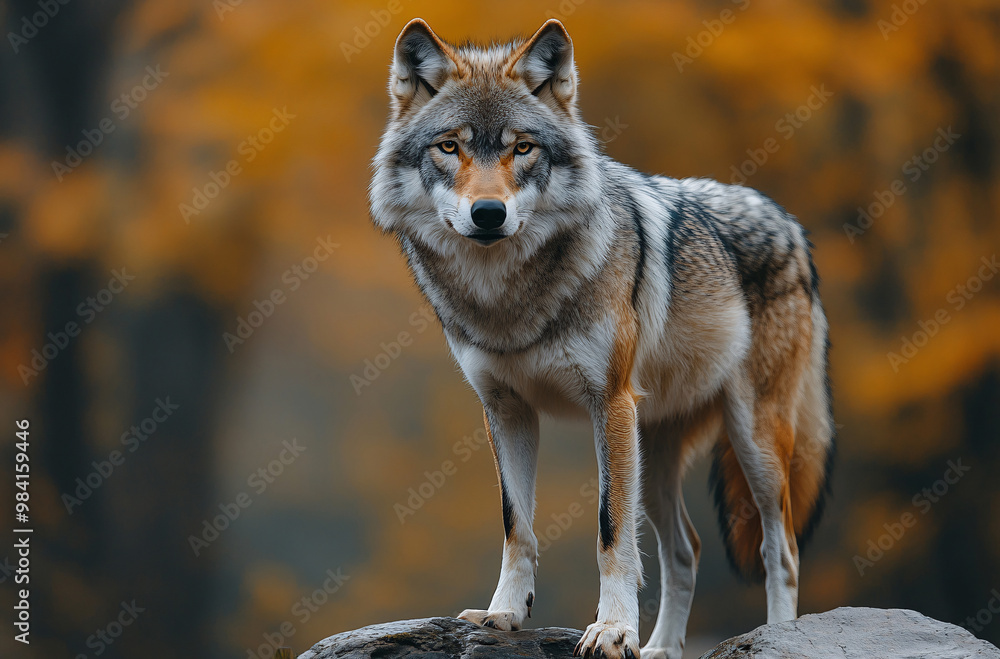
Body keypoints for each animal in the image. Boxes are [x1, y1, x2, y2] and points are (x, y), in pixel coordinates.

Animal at [369, 18, 835, 659]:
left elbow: (610, 531)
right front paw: (504, 614)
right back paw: (661, 648)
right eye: (449, 147)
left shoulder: (607, 404)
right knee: (685, 549)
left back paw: (779, 637)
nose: (488, 213)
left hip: (751, 442)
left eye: (522, 147)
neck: (508, 301)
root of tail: (790, 224)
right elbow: (517, 524)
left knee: (780, 548)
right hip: (654, 455)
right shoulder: (506, 410)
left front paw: (612, 630)